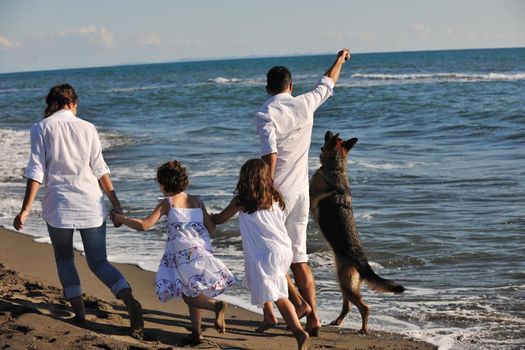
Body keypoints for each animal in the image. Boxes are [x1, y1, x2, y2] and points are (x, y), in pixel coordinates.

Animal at [310, 131, 404, 334]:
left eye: (330, 137)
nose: (327, 131)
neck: (336, 168)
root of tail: (364, 263)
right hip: (344, 283)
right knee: (348, 306)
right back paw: (338, 321)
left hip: (346, 284)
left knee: (364, 307)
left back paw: (363, 329)